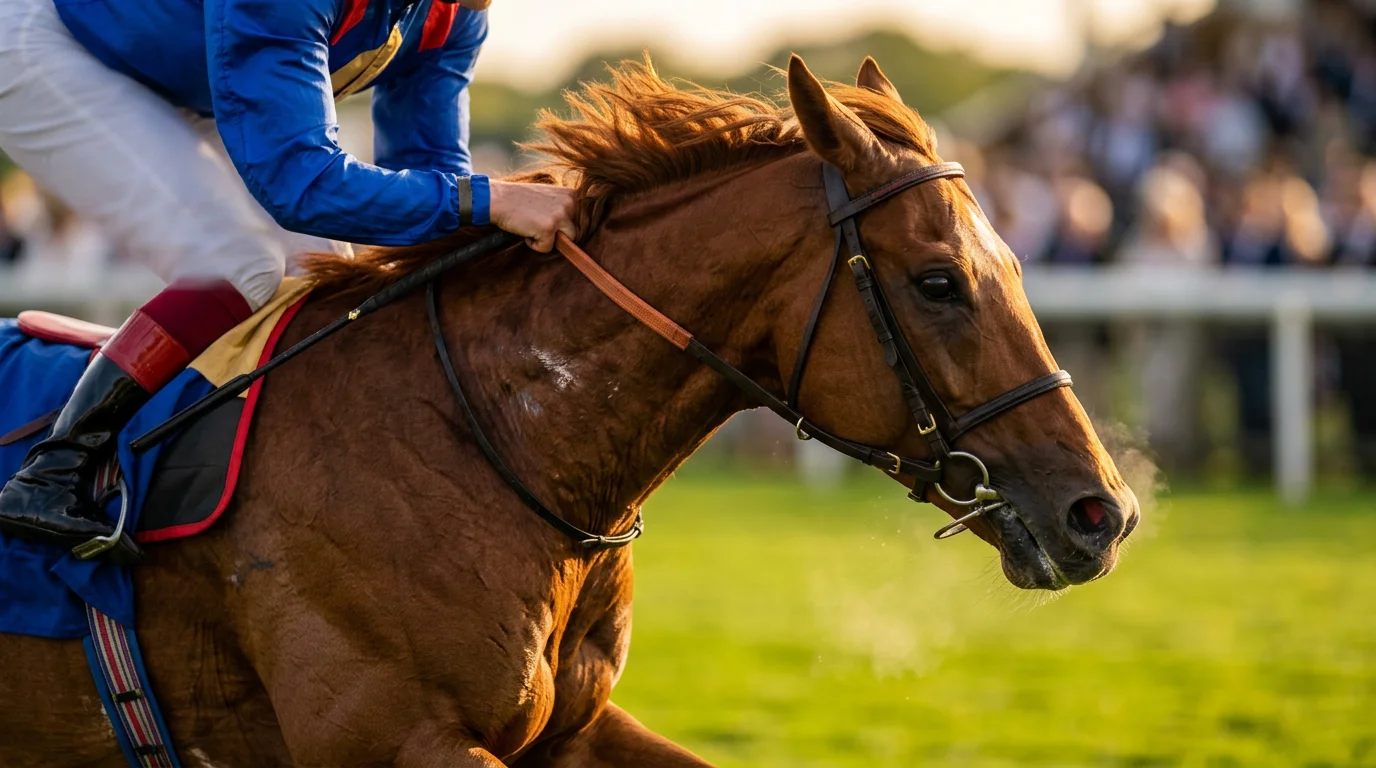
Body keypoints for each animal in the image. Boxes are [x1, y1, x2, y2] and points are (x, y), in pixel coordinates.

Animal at [0, 55, 1138, 766]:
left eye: (1015, 262)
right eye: (940, 281)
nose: (1104, 514)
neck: (496, 441)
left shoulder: (574, 728)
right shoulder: (389, 736)